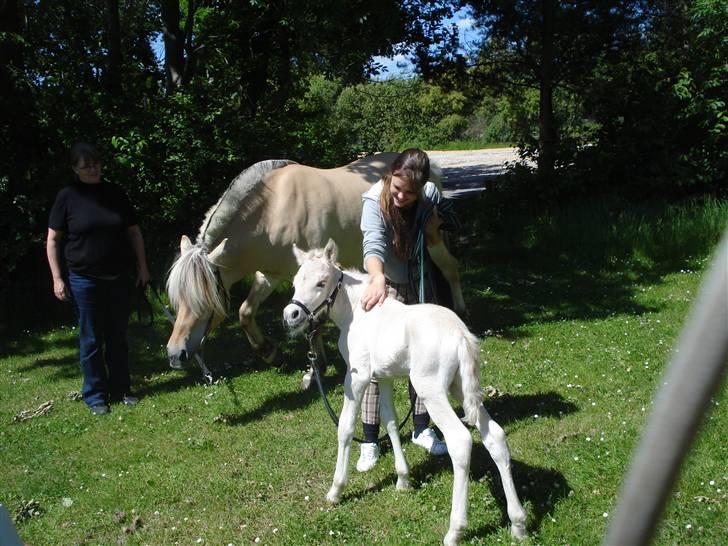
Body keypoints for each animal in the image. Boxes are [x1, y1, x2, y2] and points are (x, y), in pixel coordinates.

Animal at [166, 154, 466, 370]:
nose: (175, 354)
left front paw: (317, 364)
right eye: (177, 300)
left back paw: (460, 310)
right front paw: (271, 353)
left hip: (433, 240)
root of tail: (432, 168)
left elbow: (314, 321)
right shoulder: (270, 275)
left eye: (203, 301)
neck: (272, 211)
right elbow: (245, 312)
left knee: (451, 269)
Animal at [282, 239, 528, 544]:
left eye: (321, 282)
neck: (356, 311)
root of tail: (461, 335)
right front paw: (403, 479)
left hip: (430, 389)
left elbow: (345, 427)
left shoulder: (358, 376)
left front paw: (336, 490)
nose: (291, 315)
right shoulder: (383, 377)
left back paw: (455, 530)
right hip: (460, 387)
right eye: (295, 283)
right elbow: (389, 420)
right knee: (495, 435)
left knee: (460, 441)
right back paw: (518, 523)